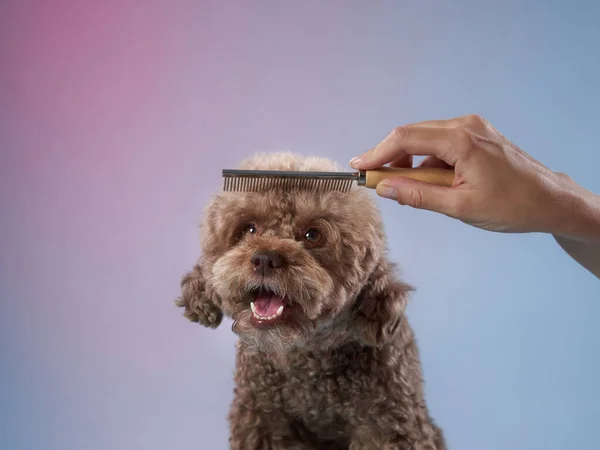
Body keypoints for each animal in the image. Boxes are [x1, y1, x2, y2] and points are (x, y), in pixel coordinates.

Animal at [176, 152, 442, 450]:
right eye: (250, 229)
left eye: (313, 235)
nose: (265, 258)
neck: (306, 359)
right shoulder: (262, 417)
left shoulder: (387, 423)